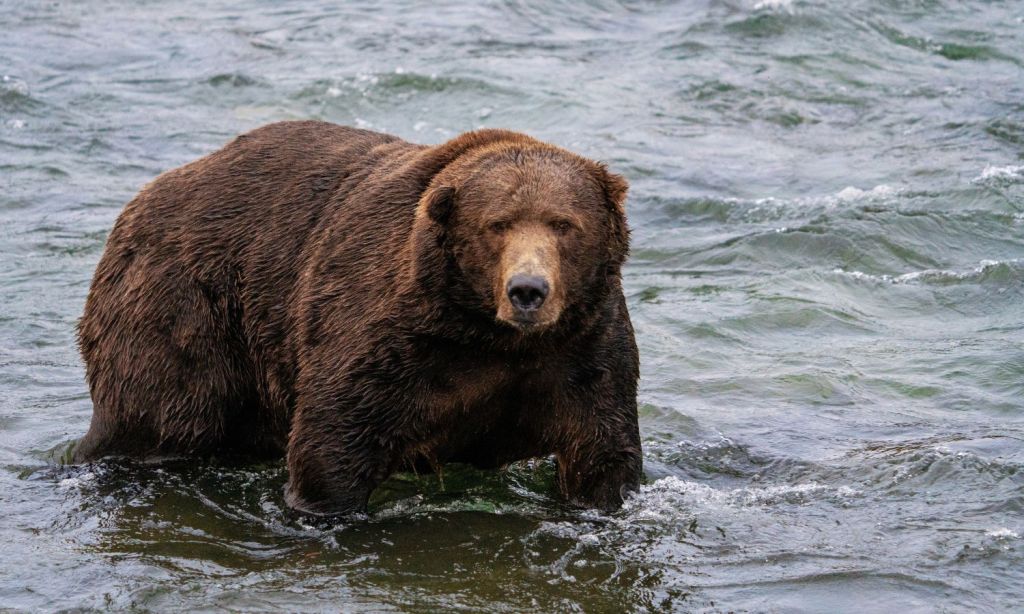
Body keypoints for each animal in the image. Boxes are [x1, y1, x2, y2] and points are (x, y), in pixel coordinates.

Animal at [74, 120, 642, 516]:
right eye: (497, 224)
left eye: (564, 224)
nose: (527, 290)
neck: (488, 335)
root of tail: (142, 199)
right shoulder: (390, 338)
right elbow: (333, 438)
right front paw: (325, 507)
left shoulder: (580, 347)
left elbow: (602, 449)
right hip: (185, 307)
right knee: (158, 414)